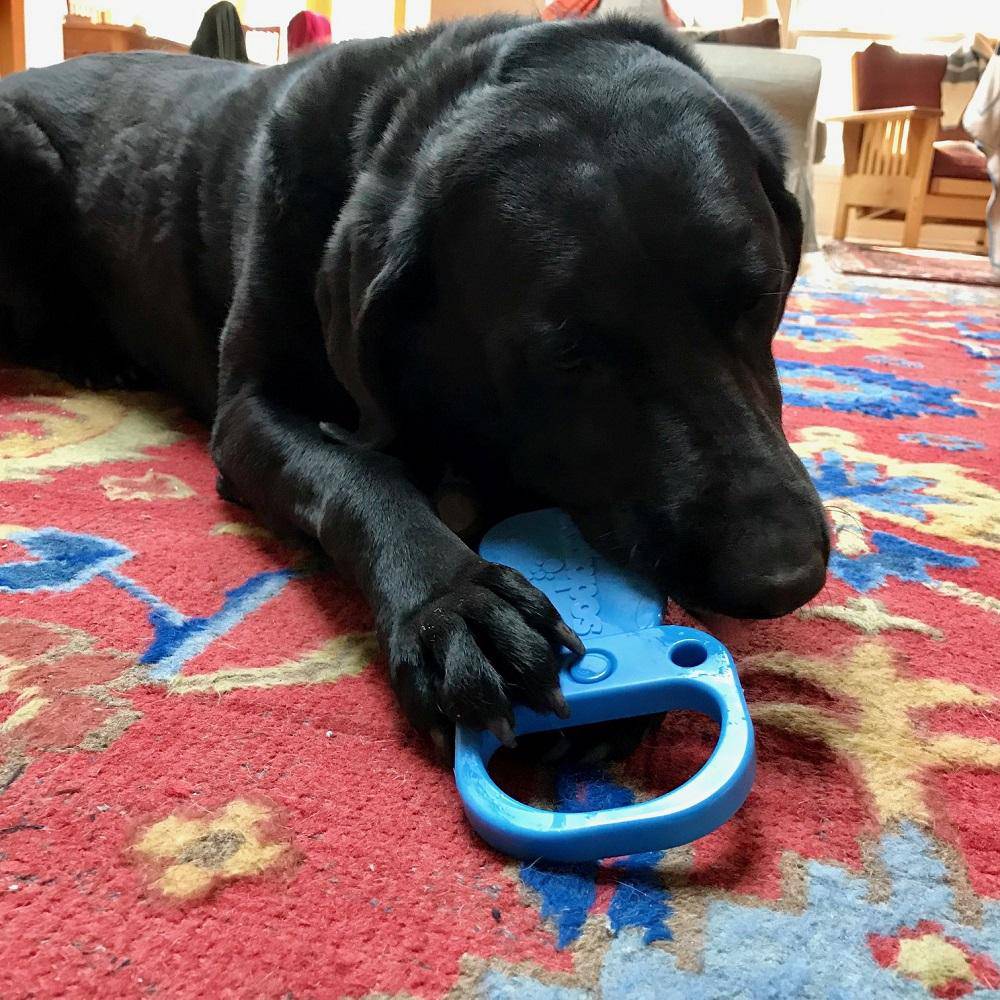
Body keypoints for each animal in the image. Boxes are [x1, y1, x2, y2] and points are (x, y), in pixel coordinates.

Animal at [0, 15, 828, 752]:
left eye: (762, 295)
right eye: (566, 351)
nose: (783, 575)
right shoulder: (250, 410)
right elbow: (357, 471)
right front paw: (453, 602)